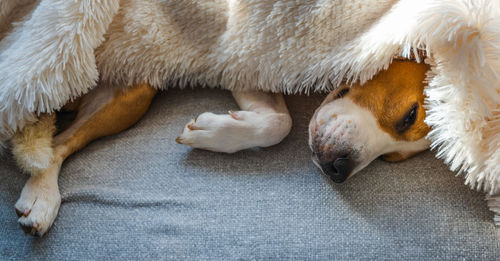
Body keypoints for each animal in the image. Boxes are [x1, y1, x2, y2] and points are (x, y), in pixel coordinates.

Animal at [10, 59, 430, 236]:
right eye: (409, 115)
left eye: (390, 158)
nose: (338, 169)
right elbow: (284, 123)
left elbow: (279, 123)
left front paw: (213, 131)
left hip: (129, 96)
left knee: (60, 142)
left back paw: (41, 198)